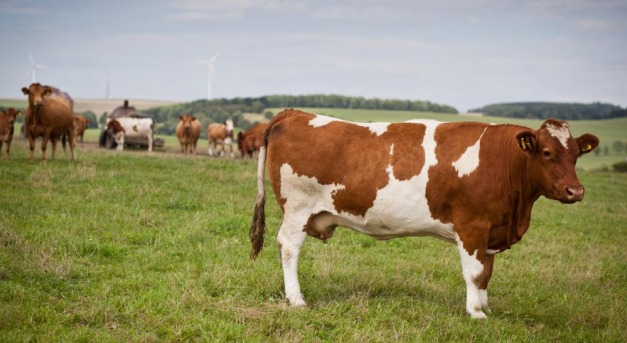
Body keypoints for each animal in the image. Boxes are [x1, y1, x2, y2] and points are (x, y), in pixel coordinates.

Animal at [250, 109, 600, 320]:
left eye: (575, 155)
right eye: (547, 153)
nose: (576, 191)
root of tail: (294, 113)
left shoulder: (490, 230)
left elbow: (486, 273)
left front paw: (485, 305)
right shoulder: (472, 226)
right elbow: (474, 272)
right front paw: (475, 313)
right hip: (298, 209)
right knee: (289, 247)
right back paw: (296, 299)